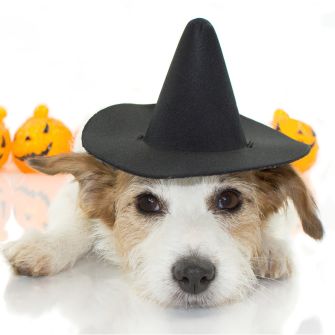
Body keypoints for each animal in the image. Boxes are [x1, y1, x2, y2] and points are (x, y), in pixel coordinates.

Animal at [1, 140, 322, 310]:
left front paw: (270, 247)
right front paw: (46, 246)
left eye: (228, 199)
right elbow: (79, 221)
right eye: (147, 203)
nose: (194, 274)